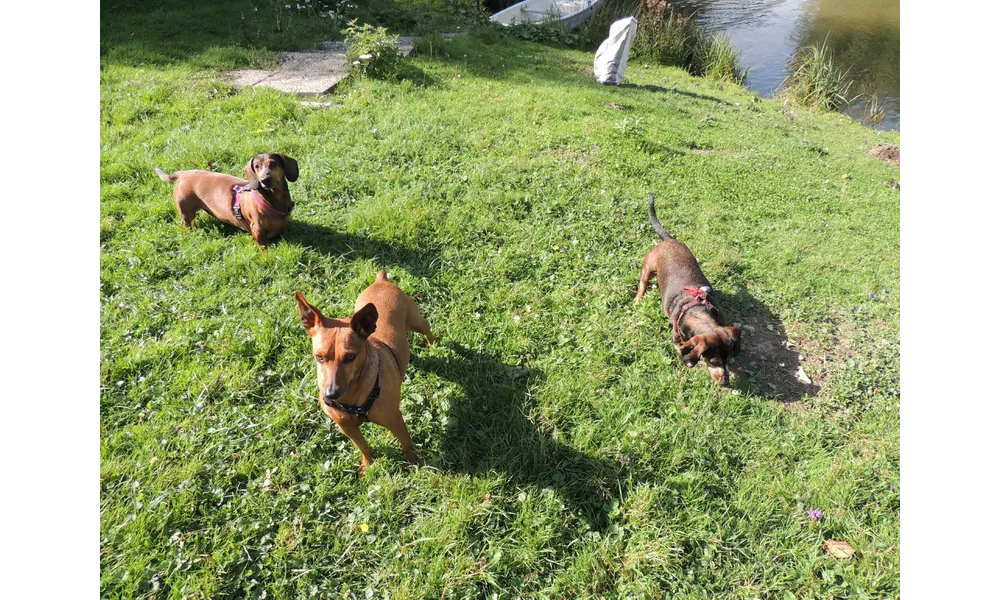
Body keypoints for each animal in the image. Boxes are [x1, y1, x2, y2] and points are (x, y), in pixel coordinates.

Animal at [296, 270, 438, 474]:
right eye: (319, 357)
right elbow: (363, 446)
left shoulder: (395, 421)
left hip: (416, 321)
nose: (331, 395)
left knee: (427, 329)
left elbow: (407, 445)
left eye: (350, 357)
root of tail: (381, 280)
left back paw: (434, 346)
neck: (352, 398)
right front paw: (367, 465)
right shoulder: (347, 428)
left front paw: (414, 464)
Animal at [632, 196, 744, 384]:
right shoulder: (677, 340)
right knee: (642, 284)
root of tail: (669, 240)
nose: (725, 383)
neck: (697, 312)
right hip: (647, 269)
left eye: (729, 358)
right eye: (714, 361)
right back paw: (638, 299)